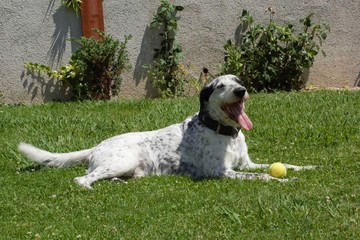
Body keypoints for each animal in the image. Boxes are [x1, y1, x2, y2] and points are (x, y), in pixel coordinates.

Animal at [18, 74, 316, 188]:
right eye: (220, 86)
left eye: (238, 80)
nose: (241, 90)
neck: (224, 132)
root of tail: (98, 145)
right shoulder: (223, 172)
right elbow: (265, 176)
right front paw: (284, 181)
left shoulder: (246, 164)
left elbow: (281, 164)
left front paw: (307, 168)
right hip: (120, 161)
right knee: (82, 179)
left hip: (128, 169)